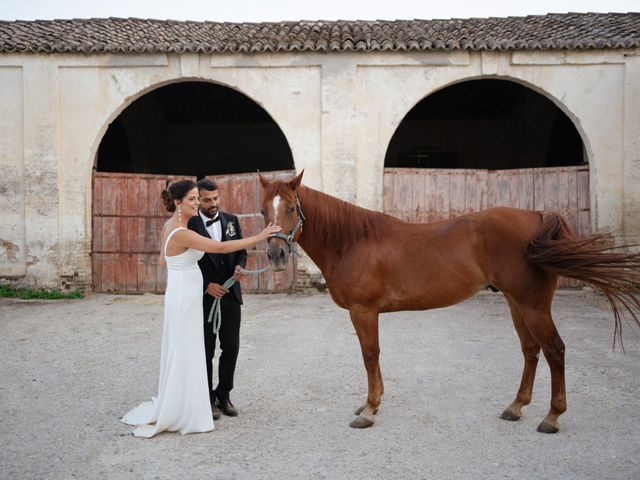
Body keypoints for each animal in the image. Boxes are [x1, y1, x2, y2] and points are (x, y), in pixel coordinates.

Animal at [258, 172, 640, 432]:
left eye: (291, 208)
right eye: (263, 211)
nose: (275, 255)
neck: (353, 240)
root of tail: (535, 216)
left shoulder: (363, 311)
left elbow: (370, 355)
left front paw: (368, 410)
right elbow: (373, 357)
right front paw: (371, 405)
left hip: (533, 305)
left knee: (554, 350)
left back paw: (551, 417)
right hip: (516, 302)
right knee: (531, 351)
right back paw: (516, 406)